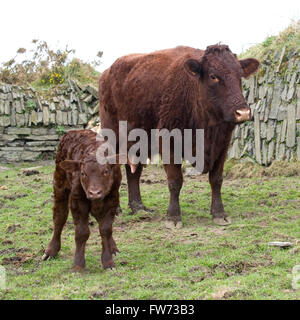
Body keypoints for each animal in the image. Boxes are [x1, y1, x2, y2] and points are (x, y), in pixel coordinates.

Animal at [42, 130, 122, 270]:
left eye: (106, 171)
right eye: (83, 173)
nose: (94, 193)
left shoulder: (112, 200)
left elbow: (106, 229)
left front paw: (108, 262)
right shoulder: (77, 201)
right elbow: (82, 232)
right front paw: (78, 264)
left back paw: (113, 248)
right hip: (59, 184)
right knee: (59, 217)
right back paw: (51, 251)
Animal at [98, 45, 258, 228]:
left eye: (240, 74)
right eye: (213, 76)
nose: (243, 112)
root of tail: (107, 72)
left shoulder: (222, 144)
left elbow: (216, 179)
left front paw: (219, 213)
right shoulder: (168, 143)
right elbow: (175, 181)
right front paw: (173, 217)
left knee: (134, 171)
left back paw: (138, 207)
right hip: (112, 138)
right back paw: (116, 209)